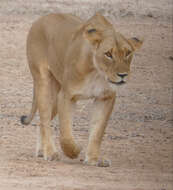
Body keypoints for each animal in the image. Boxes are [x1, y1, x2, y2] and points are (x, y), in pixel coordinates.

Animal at [20, 12, 142, 166]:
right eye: (108, 54)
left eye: (128, 53)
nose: (122, 75)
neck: (97, 73)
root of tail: (42, 17)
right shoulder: (66, 96)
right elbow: (66, 133)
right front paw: (75, 151)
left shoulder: (105, 98)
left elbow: (97, 131)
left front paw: (93, 159)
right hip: (43, 81)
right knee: (45, 119)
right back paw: (50, 152)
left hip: (55, 92)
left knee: (42, 122)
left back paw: (42, 151)